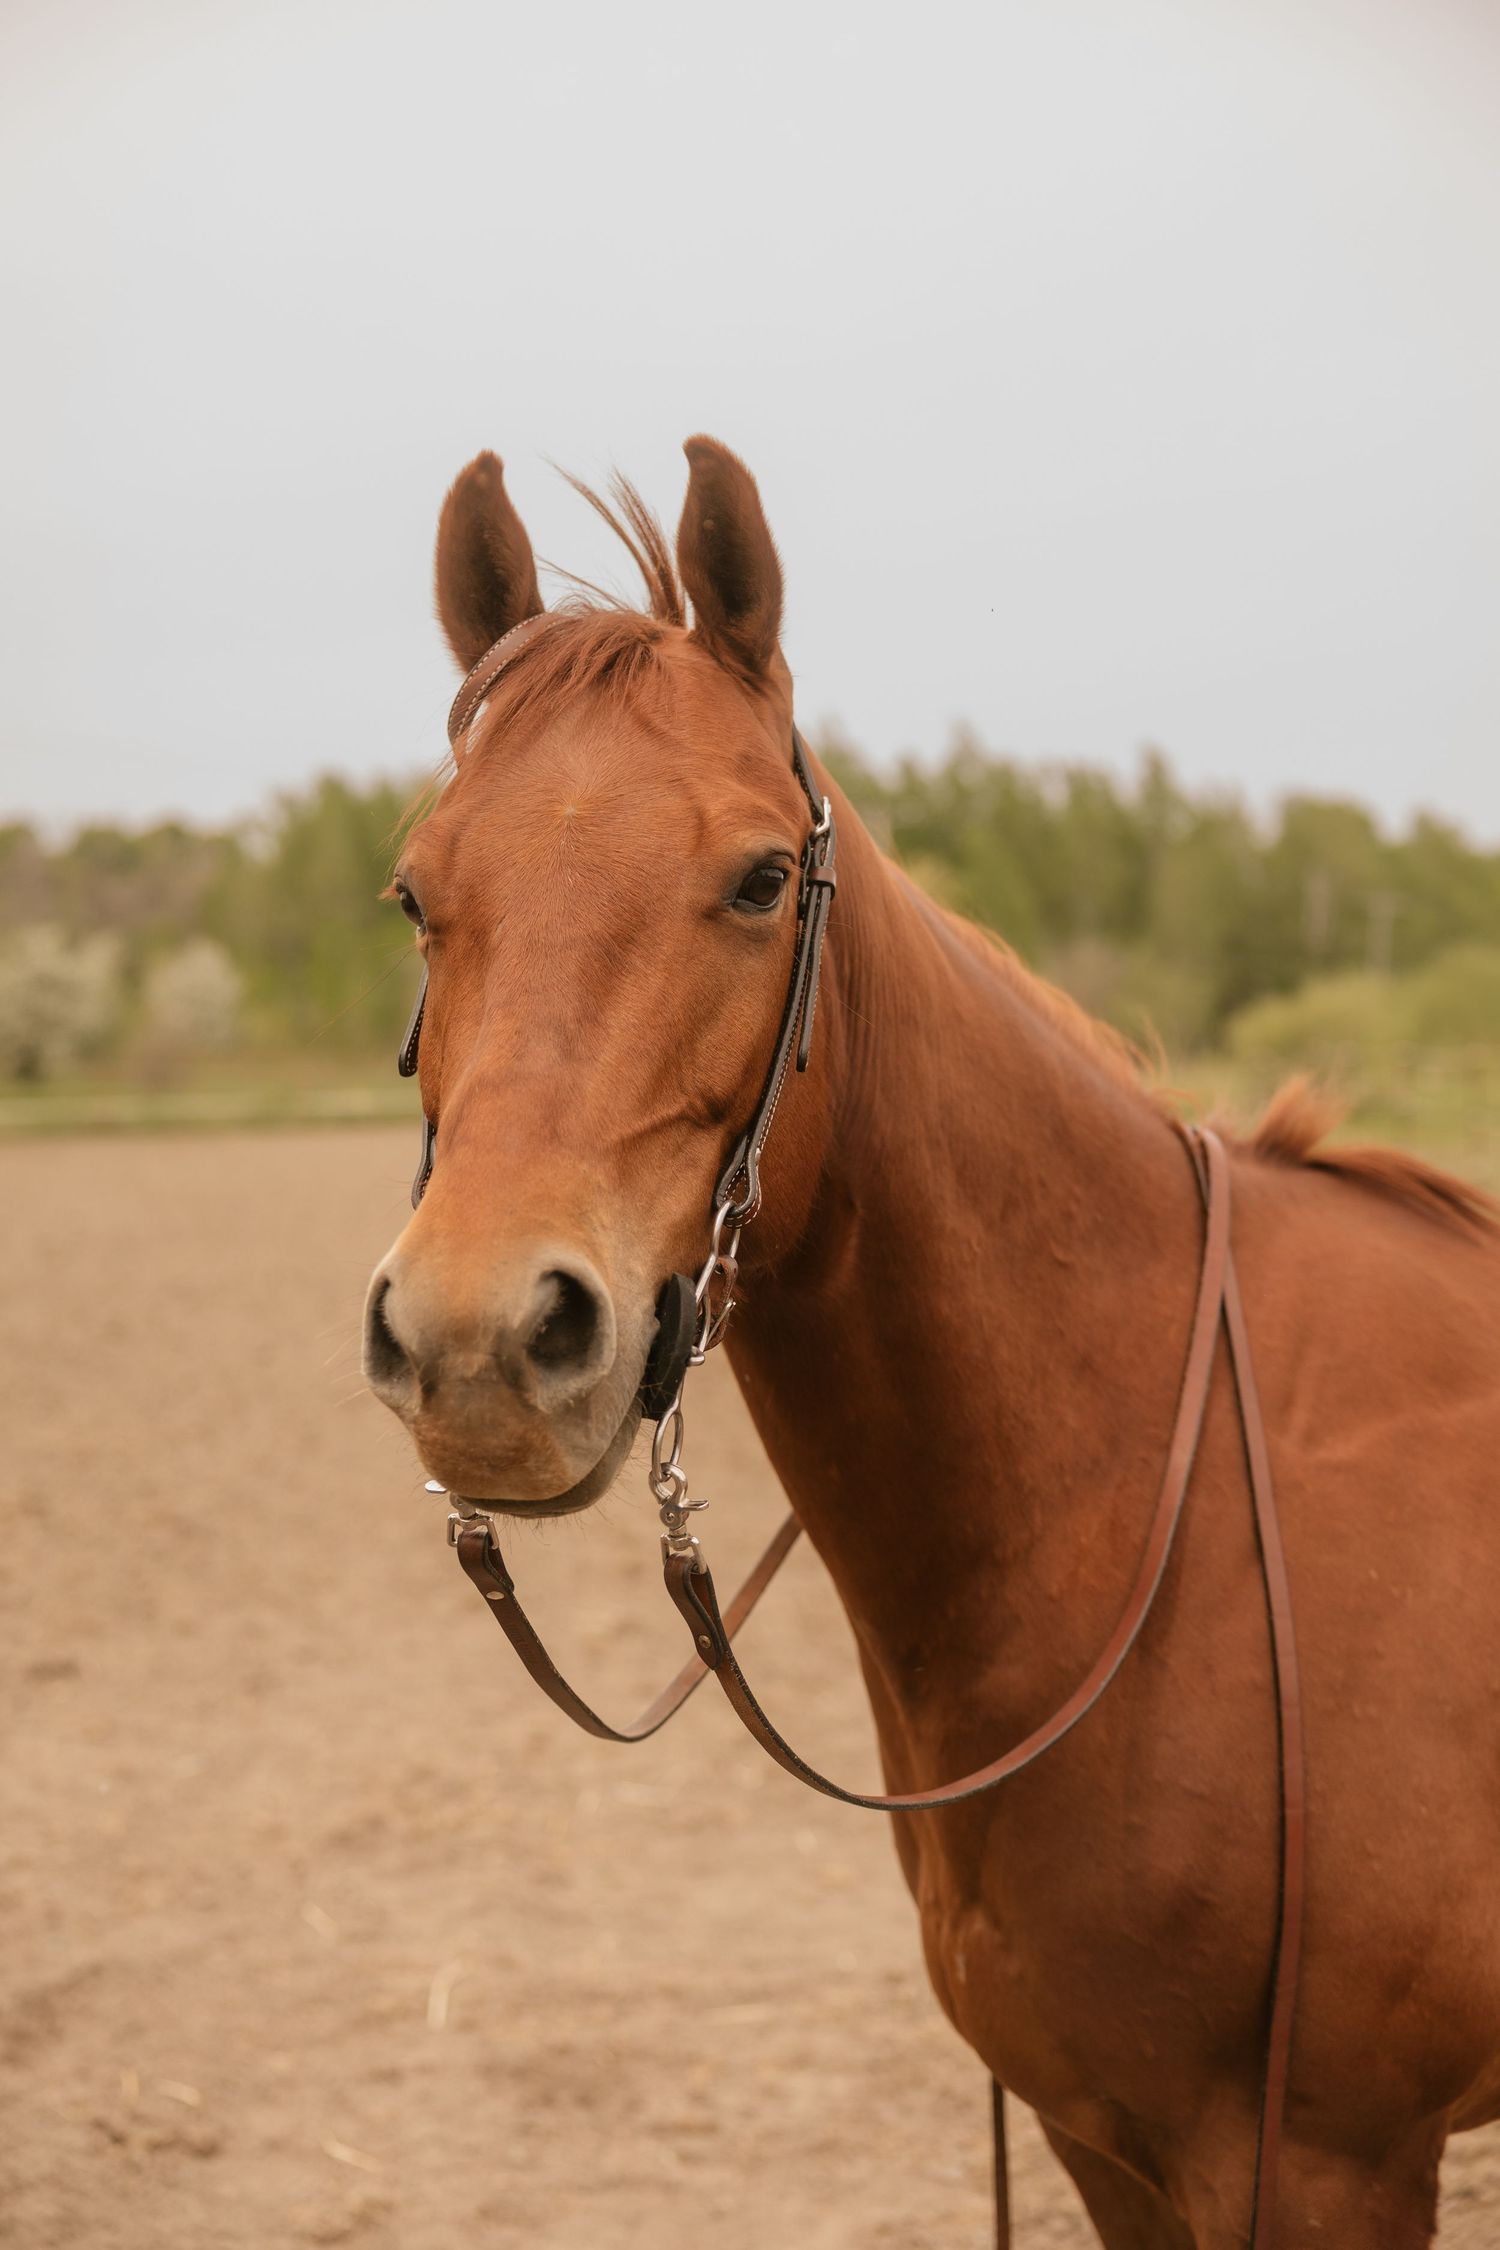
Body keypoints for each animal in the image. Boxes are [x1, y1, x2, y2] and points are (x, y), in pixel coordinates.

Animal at [362, 435, 1500, 2247]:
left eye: (762, 878)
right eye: (418, 893)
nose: (482, 1342)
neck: (1153, 1521)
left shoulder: (1327, 2163)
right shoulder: (1109, 2144)